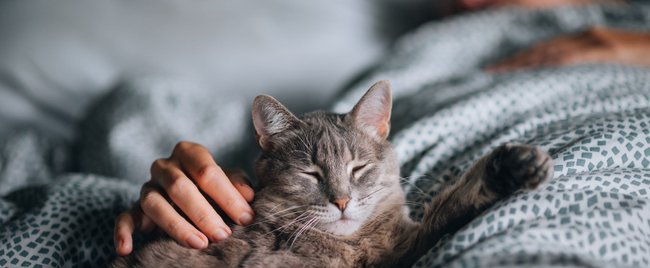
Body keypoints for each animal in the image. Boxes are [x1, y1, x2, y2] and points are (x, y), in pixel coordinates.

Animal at [112, 80, 552, 268]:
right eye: (311, 173)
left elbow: (452, 205)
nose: (340, 200)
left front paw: (512, 165)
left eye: (358, 168)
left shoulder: (403, 248)